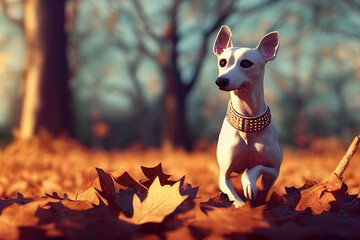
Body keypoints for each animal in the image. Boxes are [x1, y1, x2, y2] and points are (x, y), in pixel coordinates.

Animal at [214, 25, 282, 207]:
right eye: (222, 62)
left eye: (246, 63)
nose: (220, 81)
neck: (248, 122)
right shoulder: (224, 175)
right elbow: (234, 196)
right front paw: (242, 205)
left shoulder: (275, 171)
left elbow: (257, 169)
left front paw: (249, 183)